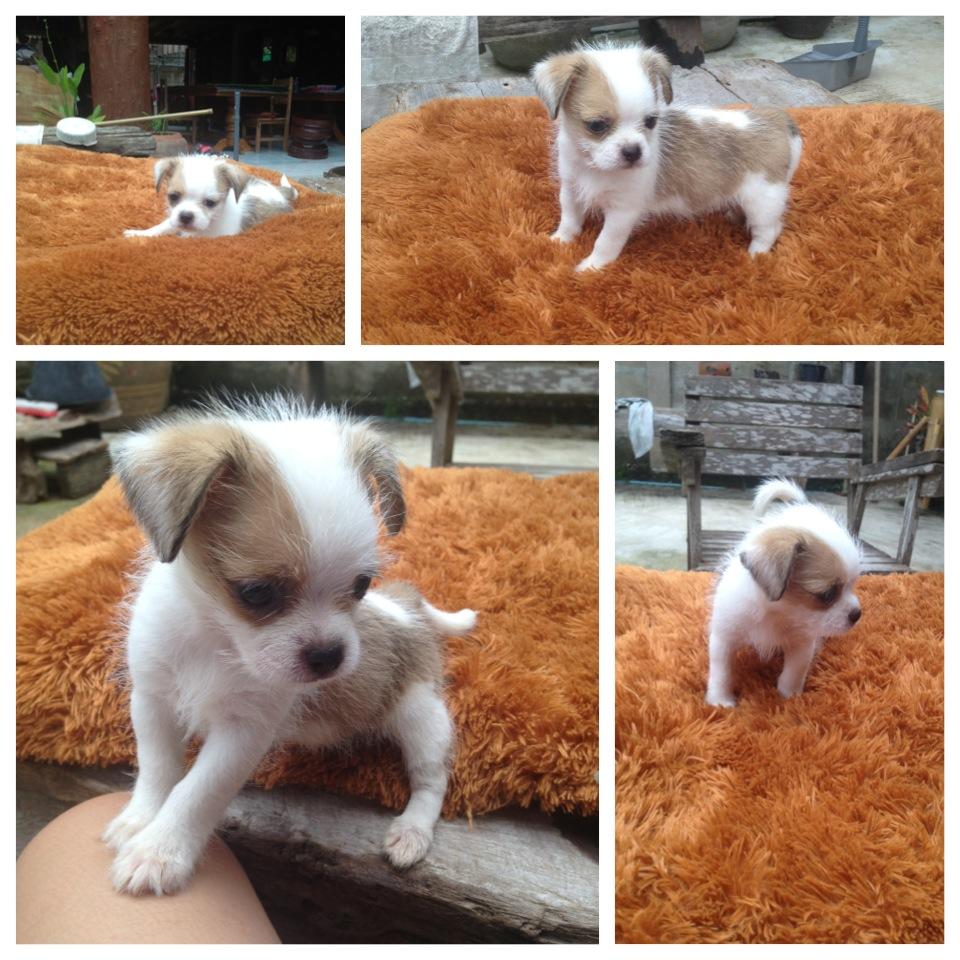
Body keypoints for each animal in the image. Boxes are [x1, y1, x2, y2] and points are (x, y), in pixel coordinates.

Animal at [102, 397, 476, 895]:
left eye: (361, 585)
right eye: (257, 593)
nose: (329, 657)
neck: (216, 640)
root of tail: (405, 605)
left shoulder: (244, 730)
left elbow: (196, 791)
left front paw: (159, 852)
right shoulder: (153, 699)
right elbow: (158, 768)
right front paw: (139, 821)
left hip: (422, 715)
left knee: (432, 780)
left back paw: (411, 832)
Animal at [123, 154, 297, 238]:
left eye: (210, 203)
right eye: (173, 197)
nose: (186, 216)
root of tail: (278, 191)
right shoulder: (173, 220)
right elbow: (161, 227)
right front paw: (139, 234)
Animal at [532, 41, 803, 270]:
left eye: (651, 121)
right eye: (597, 125)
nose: (633, 152)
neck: (595, 168)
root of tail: (780, 120)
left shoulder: (622, 211)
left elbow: (605, 242)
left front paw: (592, 267)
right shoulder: (571, 189)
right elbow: (569, 219)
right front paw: (559, 240)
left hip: (763, 199)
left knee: (769, 229)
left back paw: (755, 255)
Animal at [705, 479, 862, 708]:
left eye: (852, 585)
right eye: (826, 595)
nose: (857, 614)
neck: (776, 614)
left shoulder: (802, 644)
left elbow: (793, 673)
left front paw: (790, 698)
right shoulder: (724, 638)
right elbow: (721, 672)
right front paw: (720, 701)